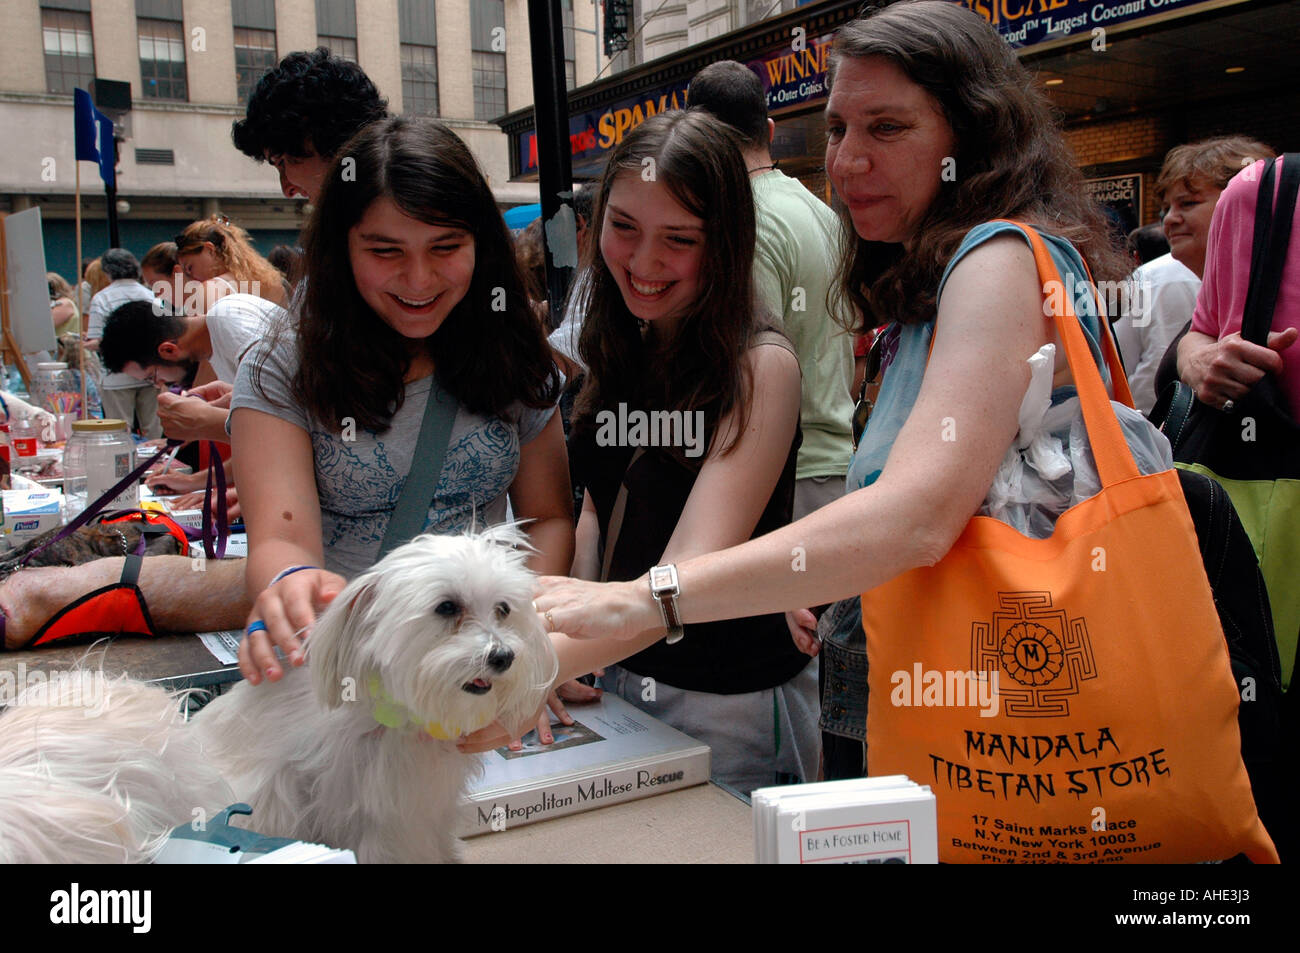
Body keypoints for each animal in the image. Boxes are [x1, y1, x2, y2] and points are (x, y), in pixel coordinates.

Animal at [0, 525, 553, 868]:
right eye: (447, 608)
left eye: (503, 609)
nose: (503, 656)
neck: (387, 716)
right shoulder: (374, 814)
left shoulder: (420, 808)